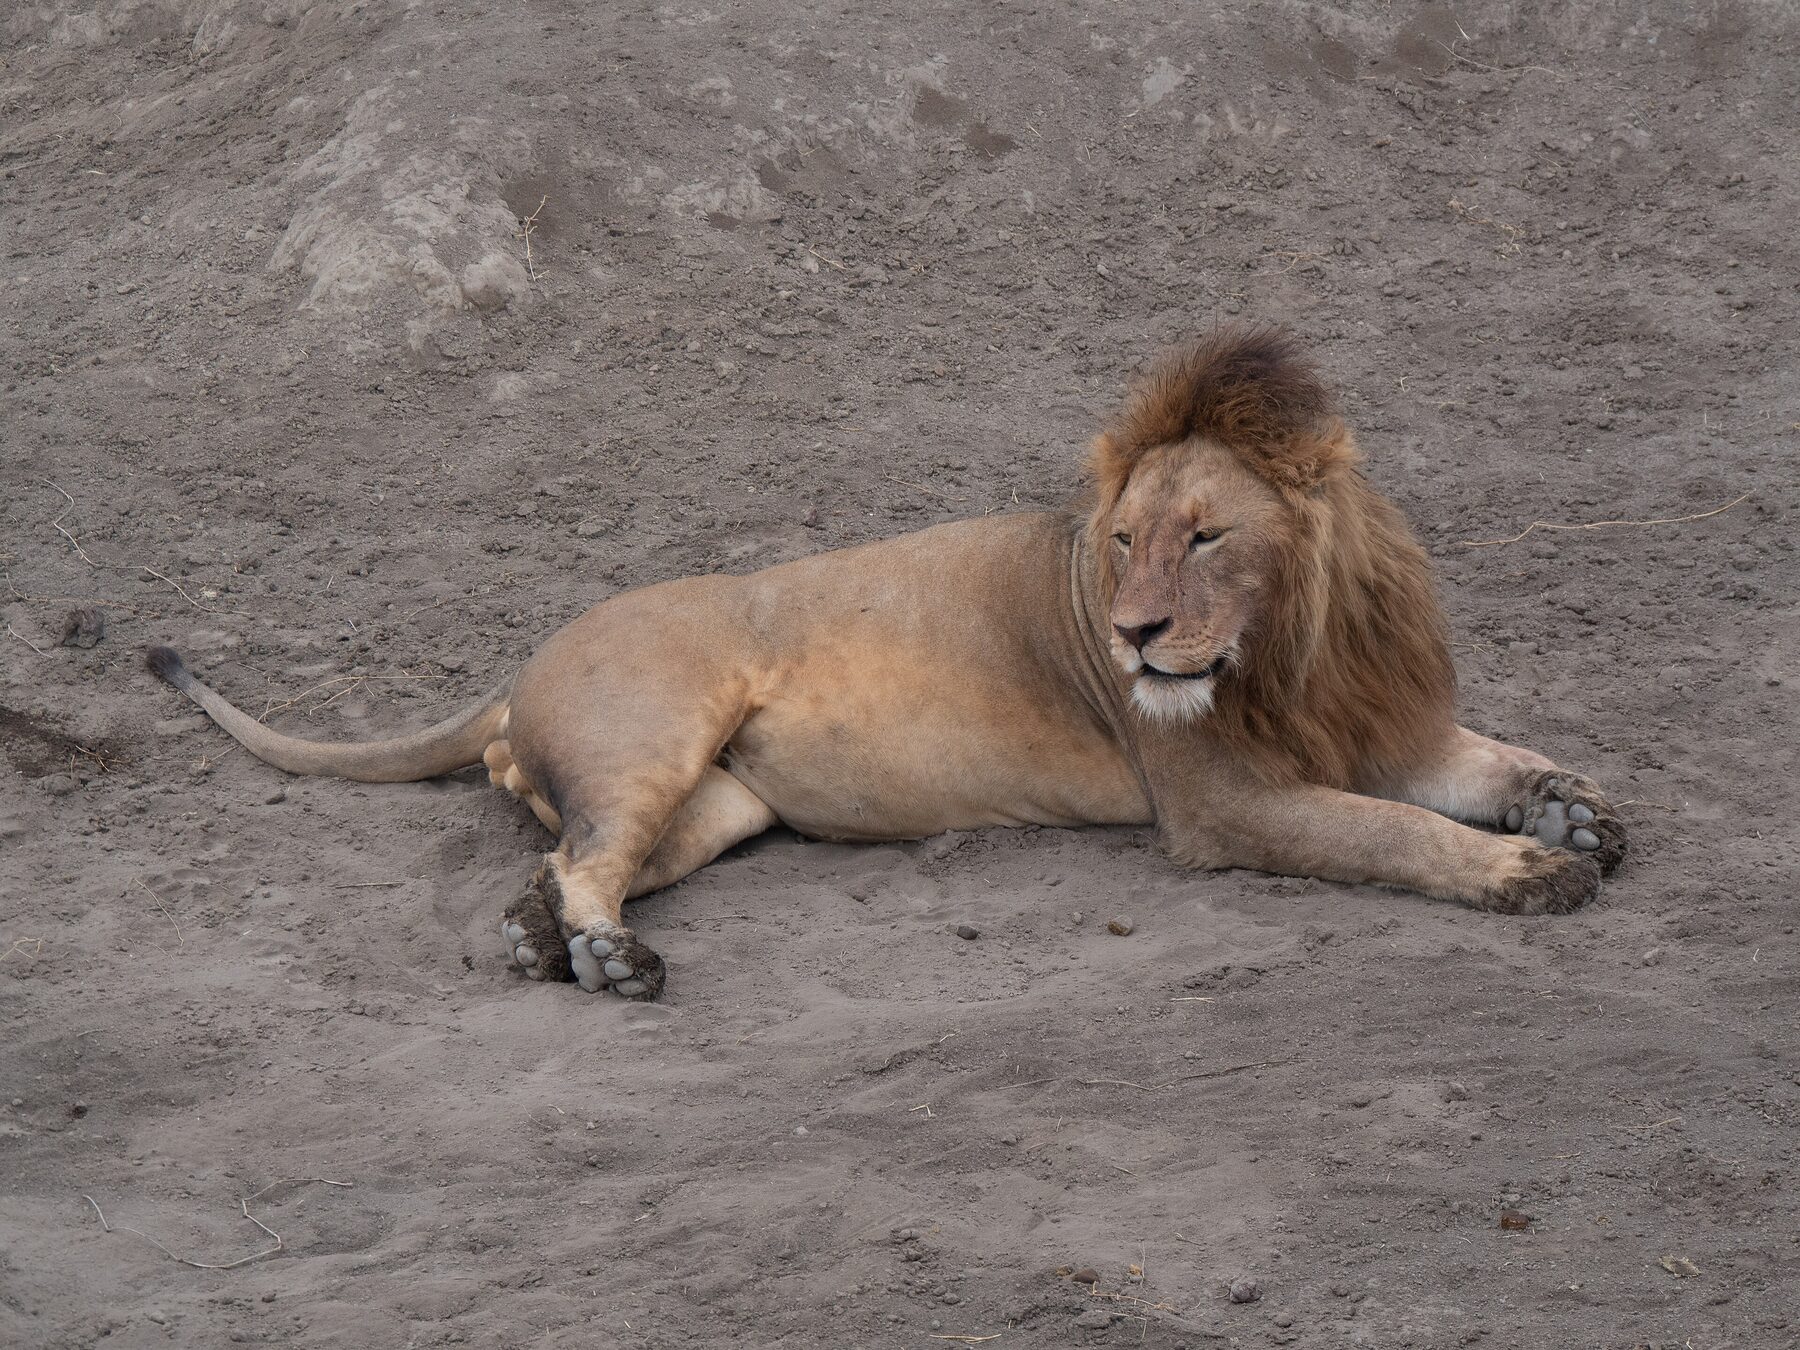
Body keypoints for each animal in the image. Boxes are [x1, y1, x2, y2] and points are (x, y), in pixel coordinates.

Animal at [149, 327, 1625, 999]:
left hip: (722, 805)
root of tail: (518, 666)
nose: (1136, 634)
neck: (1289, 650)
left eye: (1205, 535)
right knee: (584, 859)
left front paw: (1572, 810)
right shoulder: (1223, 805)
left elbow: (1489, 760)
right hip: (657, 733)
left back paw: (540, 938)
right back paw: (606, 960)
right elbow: (1390, 831)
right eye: (1125, 541)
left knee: (571, 860)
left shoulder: (1384, 722)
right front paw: (1528, 870)